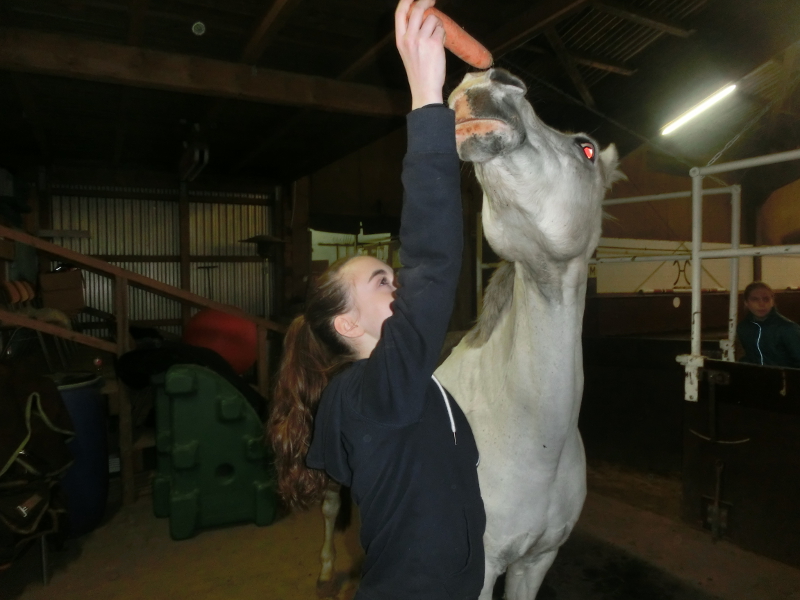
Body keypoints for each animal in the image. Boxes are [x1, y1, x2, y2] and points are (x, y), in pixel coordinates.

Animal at [314, 68, 623, 599]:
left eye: (585, 148)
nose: (487, 80)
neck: (537, 445)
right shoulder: (481, 569)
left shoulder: (534, 562)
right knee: (332, 507)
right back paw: (326, 568)